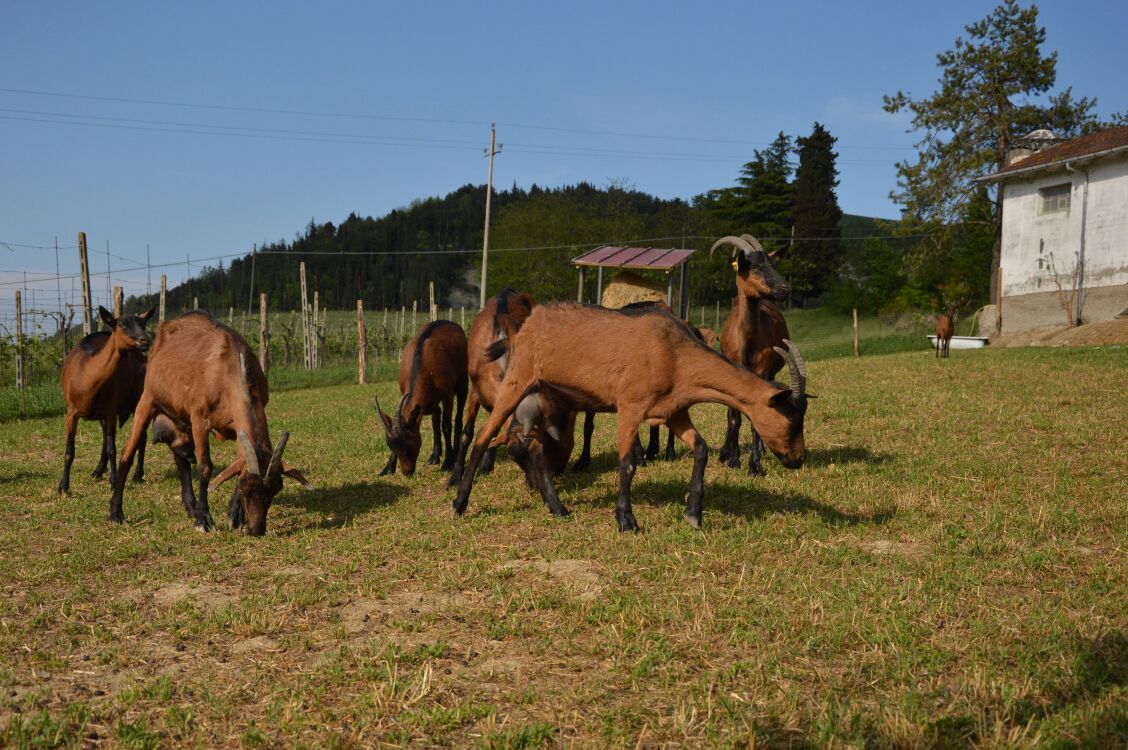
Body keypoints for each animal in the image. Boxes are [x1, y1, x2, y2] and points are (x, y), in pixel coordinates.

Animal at [59, 304, 155, 491]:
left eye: (143, 324)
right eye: (122, 325)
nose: (145, 340)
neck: (86, 377)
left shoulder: (111, 412)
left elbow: (112, 449)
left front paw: (114, 481)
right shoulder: (71, 412)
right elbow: (69, 451)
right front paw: (63, 485)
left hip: (138, 398)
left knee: (141, 437)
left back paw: (138, 474)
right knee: (105, 438)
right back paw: (98, 471)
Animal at [106, 309, 309, 532]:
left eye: (275, 489)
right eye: (247, 488)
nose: (257, 530)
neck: (228, 370)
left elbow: (236, 462)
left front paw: (235, 516)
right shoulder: (199, 418)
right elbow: (205, 467)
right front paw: (204, 520)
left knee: (182, 458)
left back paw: (190, 506)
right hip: (148, 399)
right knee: (127, 454)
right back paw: (116, 512)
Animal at [376, 318, 469, 475]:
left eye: (409, 444)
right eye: (391, 446)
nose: (407, 472)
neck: (423, 363)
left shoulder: (447, 395)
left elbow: (446, 426)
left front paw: (448, 462)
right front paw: (387, 468)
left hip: (463, 384)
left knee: (458, 418)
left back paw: (455, 453)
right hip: (432, 400)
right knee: (435, 419)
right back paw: (435, 455)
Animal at [451, 302, 812, 530]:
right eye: (791, 417)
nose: (797, 459)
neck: (675, 354)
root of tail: (526, 325)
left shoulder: (673, 411)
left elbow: (701, 449)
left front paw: (693, 512)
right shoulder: (630, 406)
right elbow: (627, 463)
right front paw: (626, 520)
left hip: (544, 397)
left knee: (534, 448)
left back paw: (559, 508)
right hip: (518, 379)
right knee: (485, 435)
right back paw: (459, 502)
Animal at [712, 234, 794, 473]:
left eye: (774, 264)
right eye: (755, 267)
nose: (785, 289)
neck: (746, 344)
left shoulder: (763, 372)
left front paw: (755, 465)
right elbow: (734, 417)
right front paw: (732, 458)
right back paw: (726, 451)